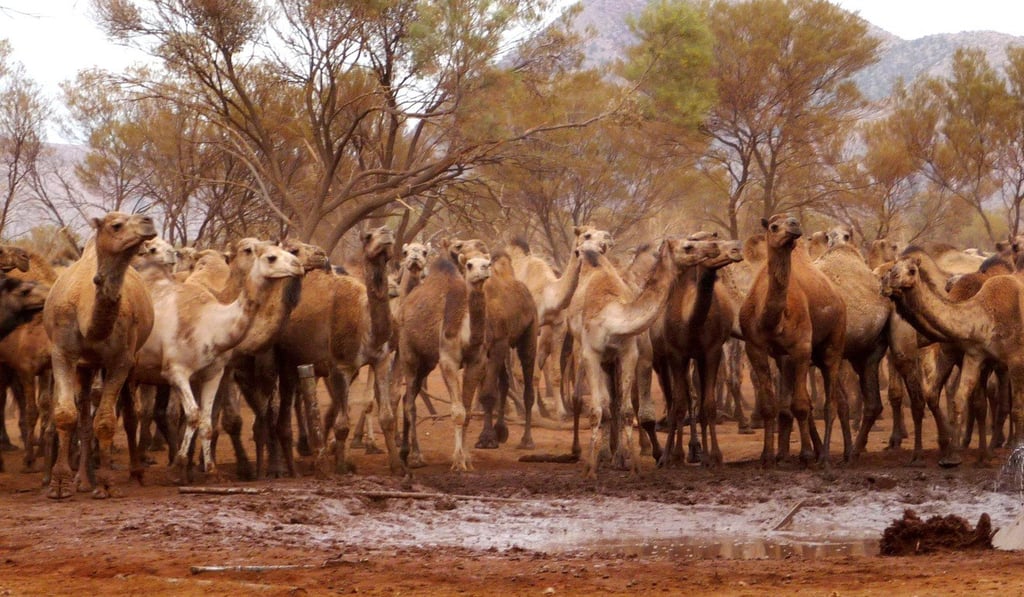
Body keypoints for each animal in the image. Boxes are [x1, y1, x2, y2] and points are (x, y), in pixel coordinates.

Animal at [42, 212, 157, 499]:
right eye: (116, 225)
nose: (148, 221)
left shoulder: (121, 360)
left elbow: (105, 420)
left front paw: (106, 484)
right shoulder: (62, 353)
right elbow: (66, 415)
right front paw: (59, 484)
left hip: (130, 361)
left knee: (130, 414)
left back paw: (135, 473)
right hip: (86, 368)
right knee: (84, 417)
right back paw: (83, 480)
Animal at [275, 227, 400, 476]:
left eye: (388, 232)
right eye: (367, 236)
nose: (386, 232)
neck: (365, 324)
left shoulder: (380, 360)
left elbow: (386, 418)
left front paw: (399, 467)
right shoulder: (341, 366)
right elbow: (342, 424)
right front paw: (342, 467)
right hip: (286, 362)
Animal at [398, 248, 491, 471]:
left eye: (488, 262)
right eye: (469, 265)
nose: (484, 270)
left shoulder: (477, 362)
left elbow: (467, 412)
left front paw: (467, 459)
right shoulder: (448, 360)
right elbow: (458, 411)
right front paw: (458, 462)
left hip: (427, 361)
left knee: (407, 398)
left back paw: (408, 453)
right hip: (408, 352)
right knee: (410, 403)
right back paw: (415, 457)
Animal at [739, 214, 848, 468]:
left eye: (793, 221)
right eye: (773, 226)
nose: (794, 226)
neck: (771, 319)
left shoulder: (801, 348)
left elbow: (800, 405)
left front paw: (806, 455)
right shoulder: (755, 348)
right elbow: (771, 406)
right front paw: (768, 457)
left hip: (833, 345)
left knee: (831, 402)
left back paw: (825, 456)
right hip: (793, 358)